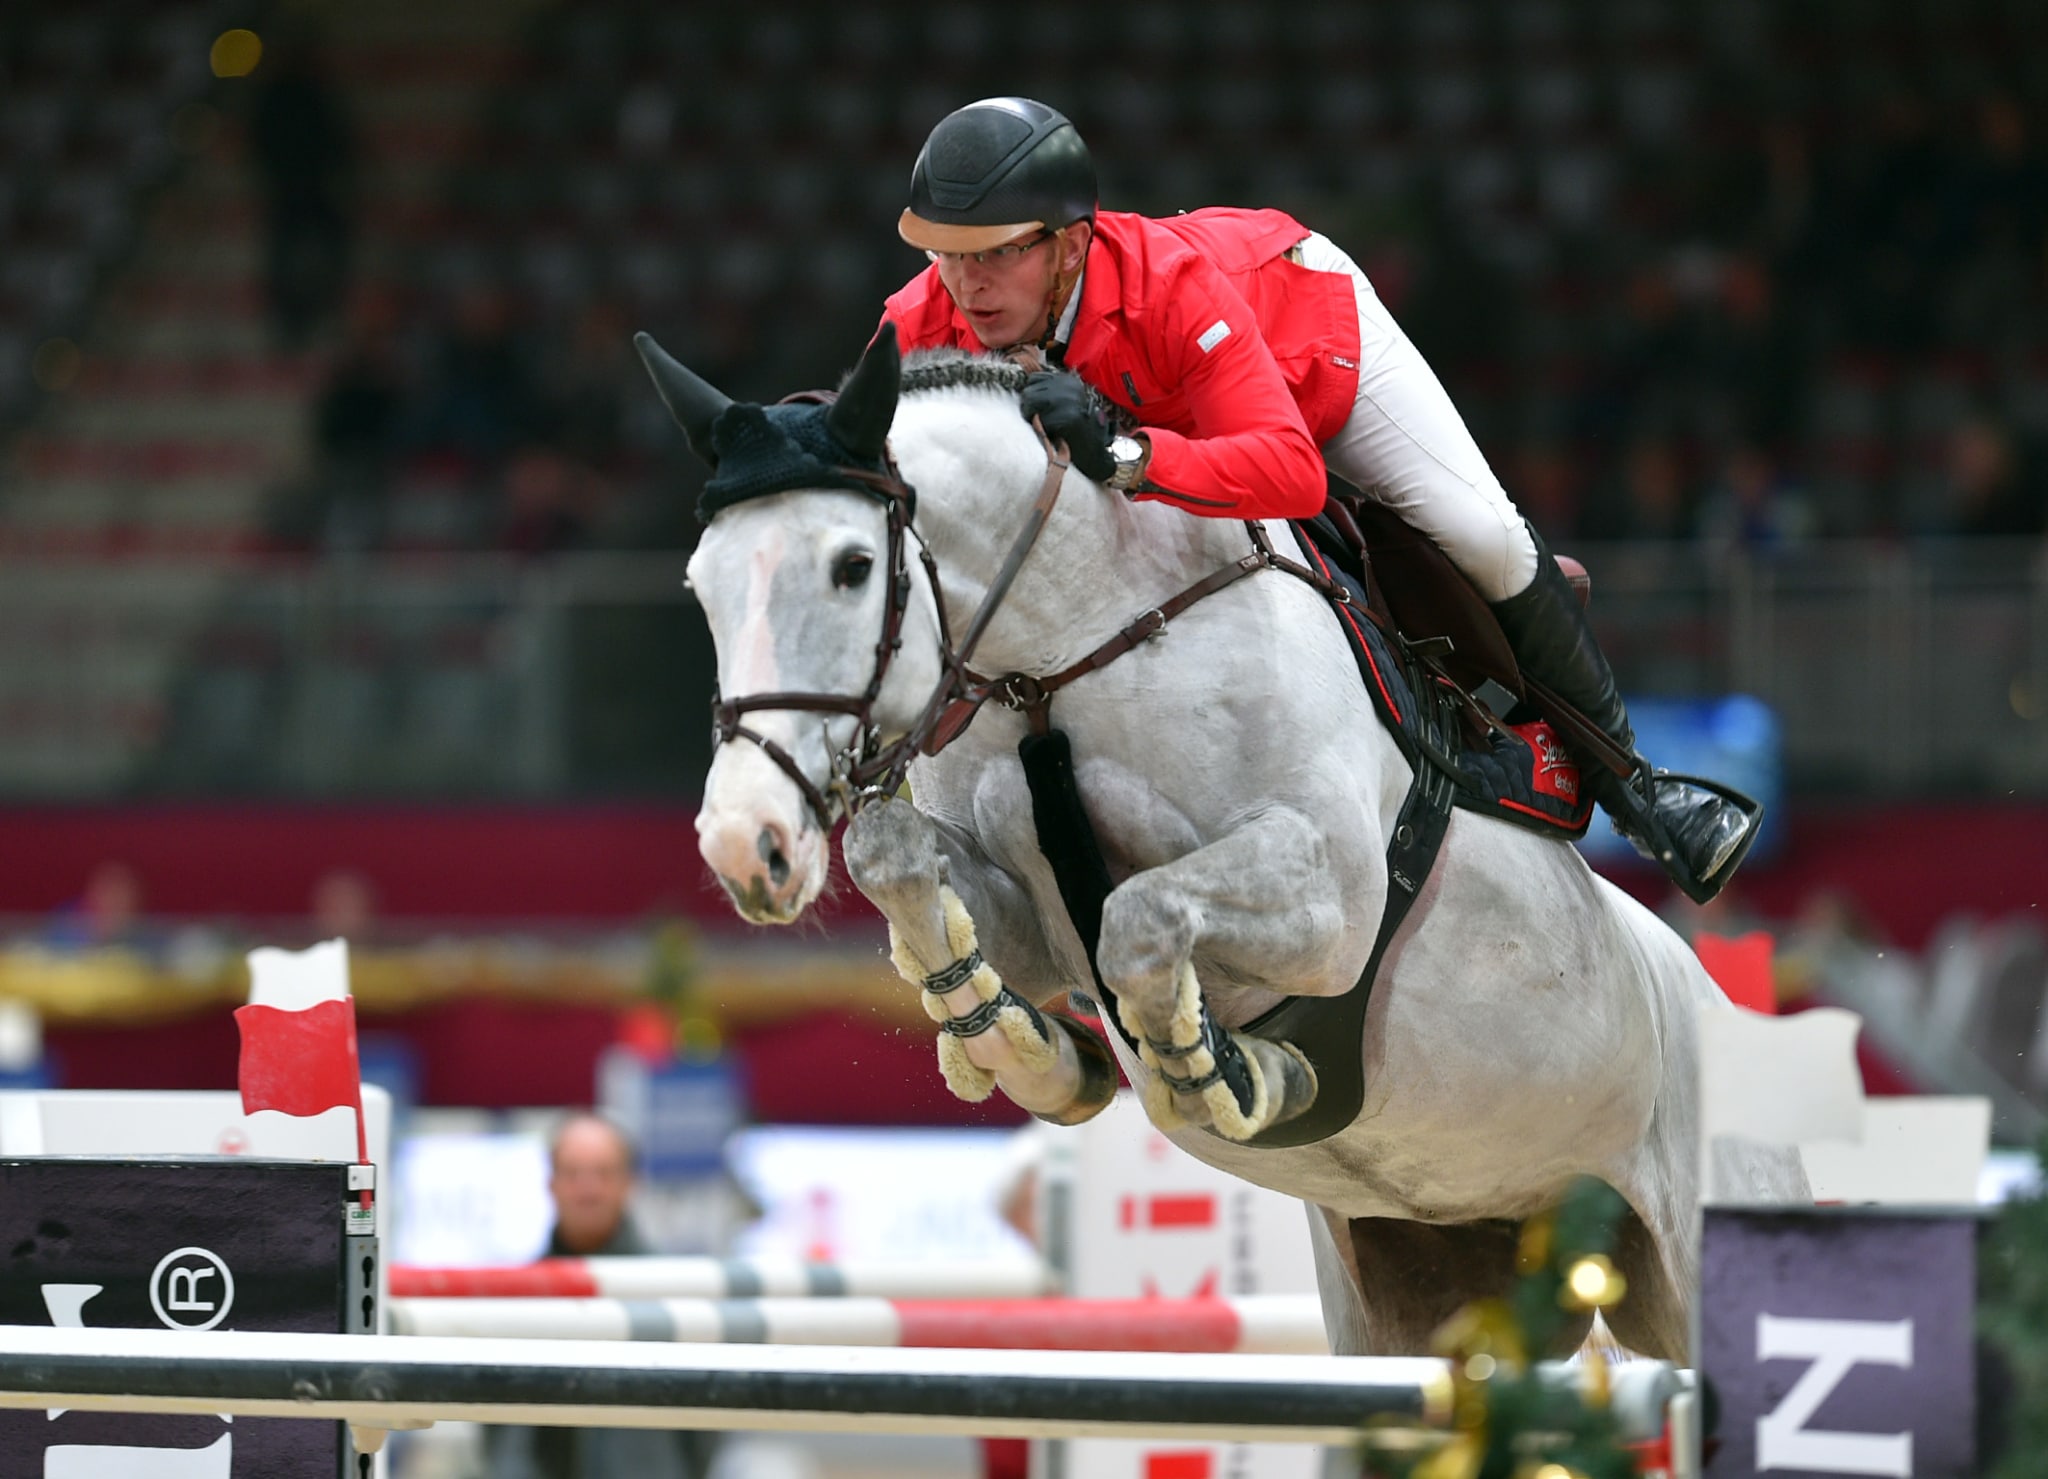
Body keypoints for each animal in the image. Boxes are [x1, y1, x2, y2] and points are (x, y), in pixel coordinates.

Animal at [643, 325, 1810, 1360]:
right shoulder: (1034, 917)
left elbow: (1143, 916)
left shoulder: (1329, 901)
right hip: (1415, 1301)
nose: (746, 843)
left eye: (850, 567)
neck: (1061, 656)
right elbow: (900, 864)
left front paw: (1225, 1071)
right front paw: (1023, 1049)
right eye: (700, 583)